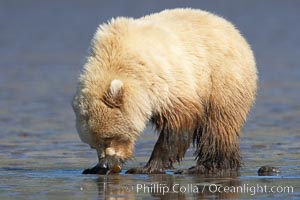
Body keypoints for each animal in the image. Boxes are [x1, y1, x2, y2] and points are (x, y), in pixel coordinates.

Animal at [72, 8, 258, 173]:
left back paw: (208, 166)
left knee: (218, 123)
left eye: (109, 138)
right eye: (93, 144)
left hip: (221, 78)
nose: (105, 164)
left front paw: (147, 167)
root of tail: (234, 30)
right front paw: (92, 168)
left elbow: (180, 120)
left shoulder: (165, 78)